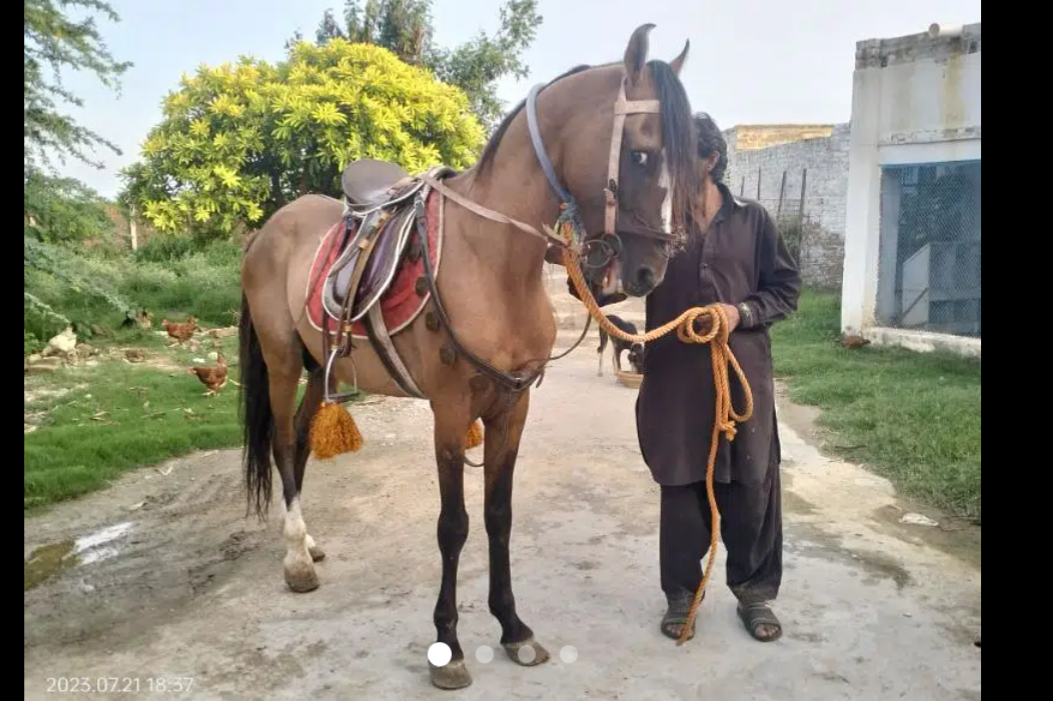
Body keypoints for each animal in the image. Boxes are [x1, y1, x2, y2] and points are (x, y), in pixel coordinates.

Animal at [237, 23, 697, 690]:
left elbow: (498, 515)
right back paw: (298, 558)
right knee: (278, 443)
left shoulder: (511, 408)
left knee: (297, 441)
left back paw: (310, 542)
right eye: (641, 152)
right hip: (280, 361)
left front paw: (513, 629)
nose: (648, 270)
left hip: (319, 366)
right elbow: (453, 526)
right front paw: (448, 646)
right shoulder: (451, 412)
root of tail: (269, 229)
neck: (492, 259)